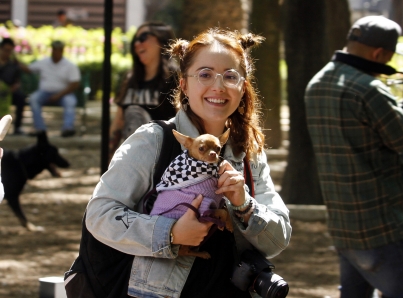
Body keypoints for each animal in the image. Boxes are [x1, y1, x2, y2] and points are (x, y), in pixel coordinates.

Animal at [151, 128, 234, 258]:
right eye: (201, 148)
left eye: (218, 148)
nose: (213, 154)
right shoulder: (204, 209)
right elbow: (223, 211)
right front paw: (223, 223)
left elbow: (225, 210)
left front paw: (228, 224)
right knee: (184, 252)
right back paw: (202, 254)